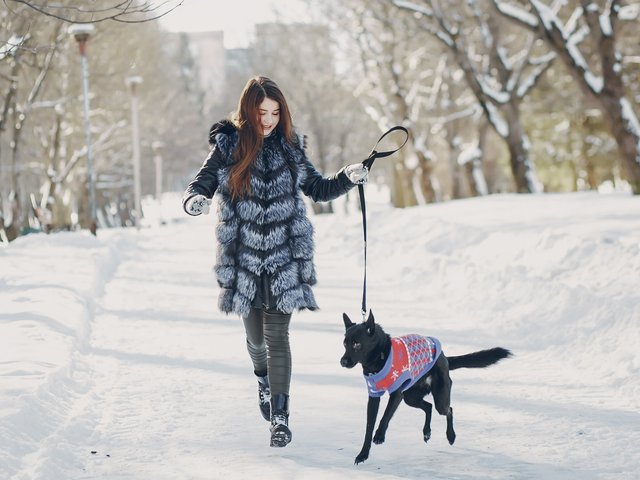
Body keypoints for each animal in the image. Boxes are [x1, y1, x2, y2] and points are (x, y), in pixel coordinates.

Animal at [342, 312, 512, 464]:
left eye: (357, 344)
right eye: (345, 343)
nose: (342, 362)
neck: (380, 358)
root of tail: (444, 357)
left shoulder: (396, 395)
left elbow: (385, 416)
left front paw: (379, 436)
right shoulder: (374, 396)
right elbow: (369, 426)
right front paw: (363, 454)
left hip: (439, 398)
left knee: (448, 410)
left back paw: (451, 436)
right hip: (410, 397)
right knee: (428, 407)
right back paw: (426, 433)